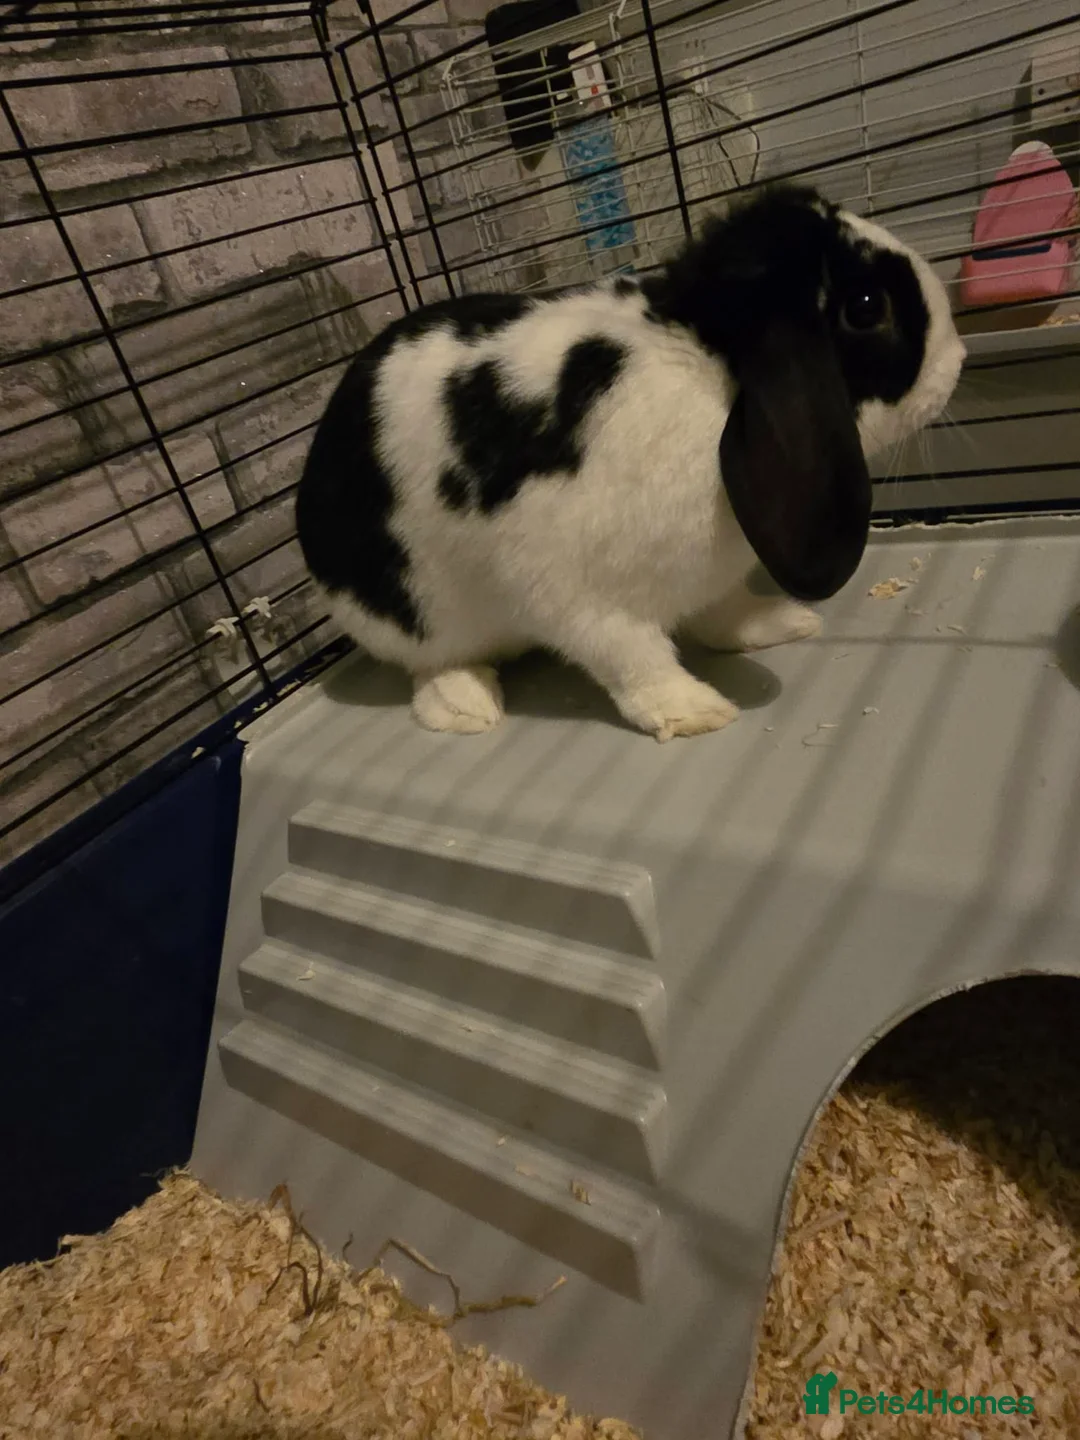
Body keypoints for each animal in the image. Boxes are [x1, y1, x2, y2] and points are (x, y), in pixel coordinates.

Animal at [295, 182, 965, 742]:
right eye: (866, 306)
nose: (957, 363)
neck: (706, 362)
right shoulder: (583, 600)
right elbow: (635, 661)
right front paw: (694, 711)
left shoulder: (707, 581)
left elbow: (723, 614)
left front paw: (780, 622)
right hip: (418, 615)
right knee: (430, 664)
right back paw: (466, 705)